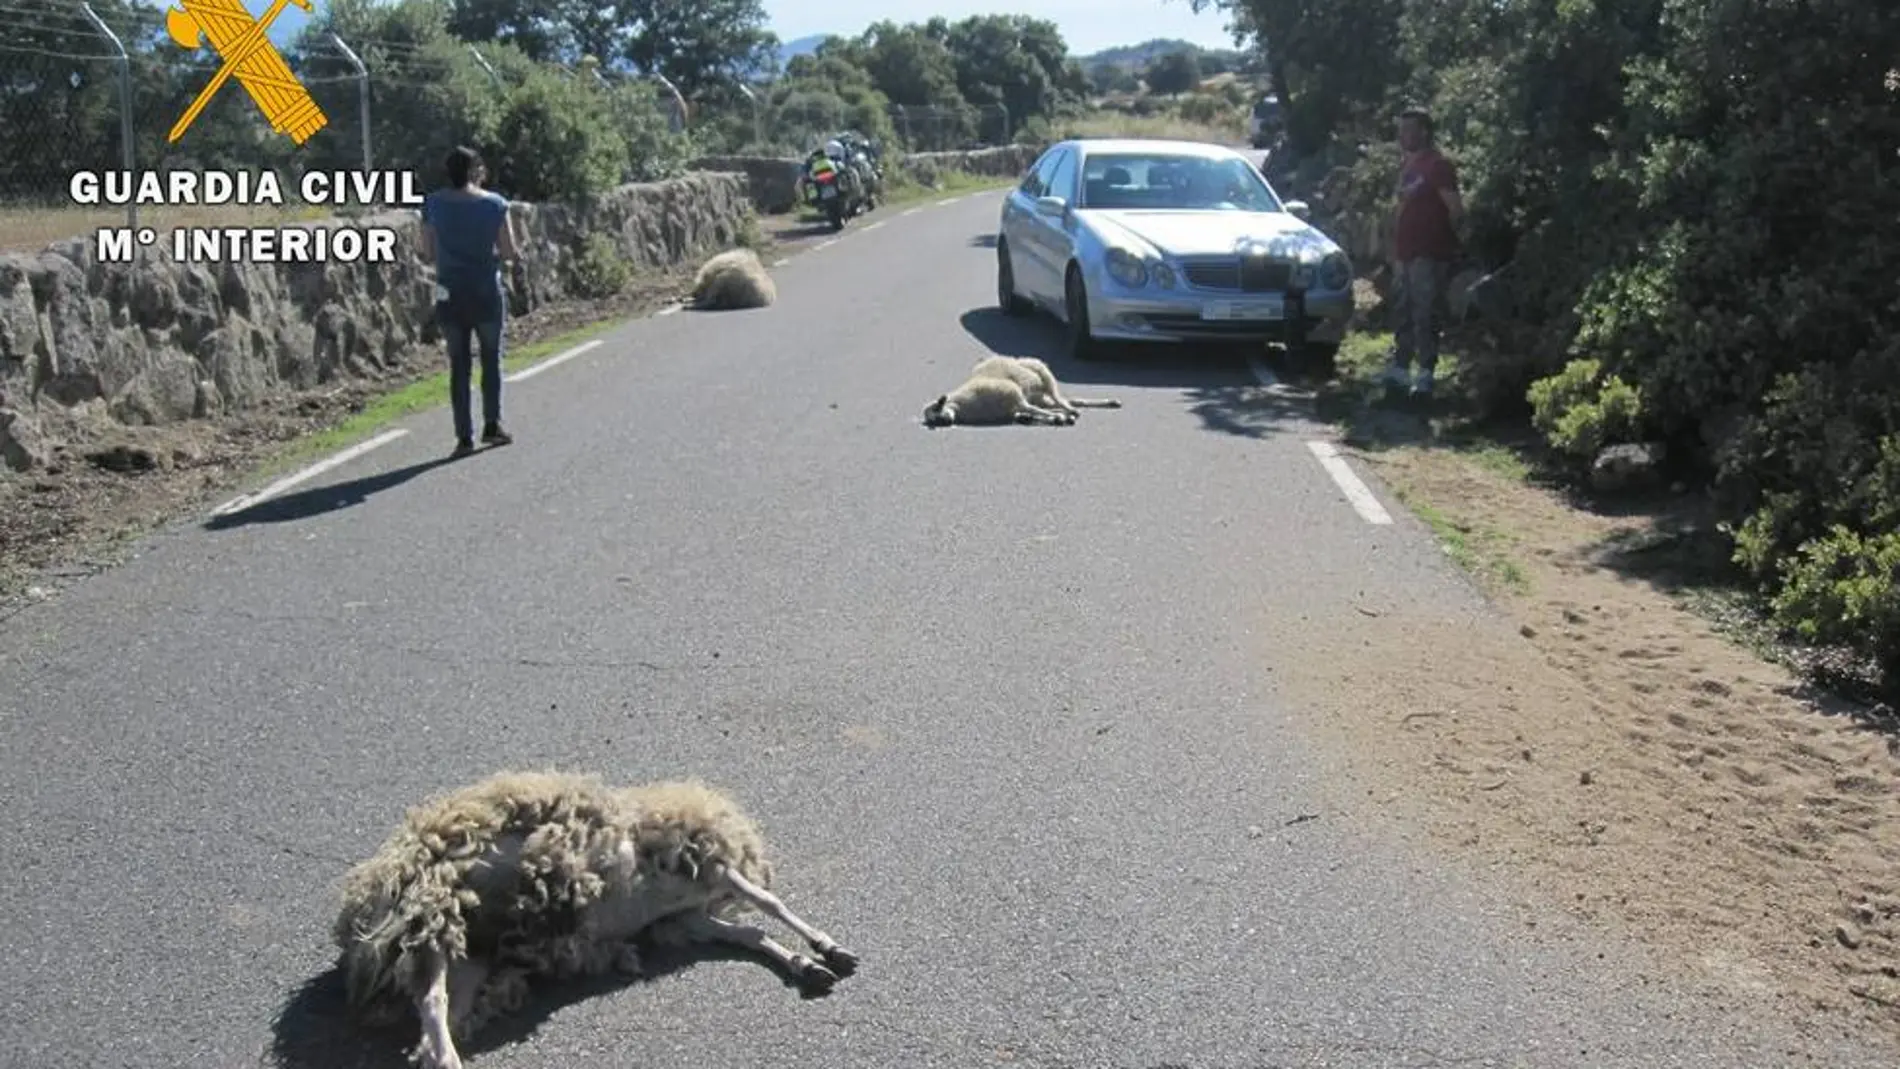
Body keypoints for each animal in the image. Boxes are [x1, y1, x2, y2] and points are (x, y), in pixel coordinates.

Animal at [330, 770, 858, 1069]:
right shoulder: (702, 862)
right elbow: (770, 903)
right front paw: (827, 947)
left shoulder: (685, 915)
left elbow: (750, 931)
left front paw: (808, 964)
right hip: (436, 910)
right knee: (432, 1004)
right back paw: (449, 1058)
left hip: (466, 952)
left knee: (433, 1021)